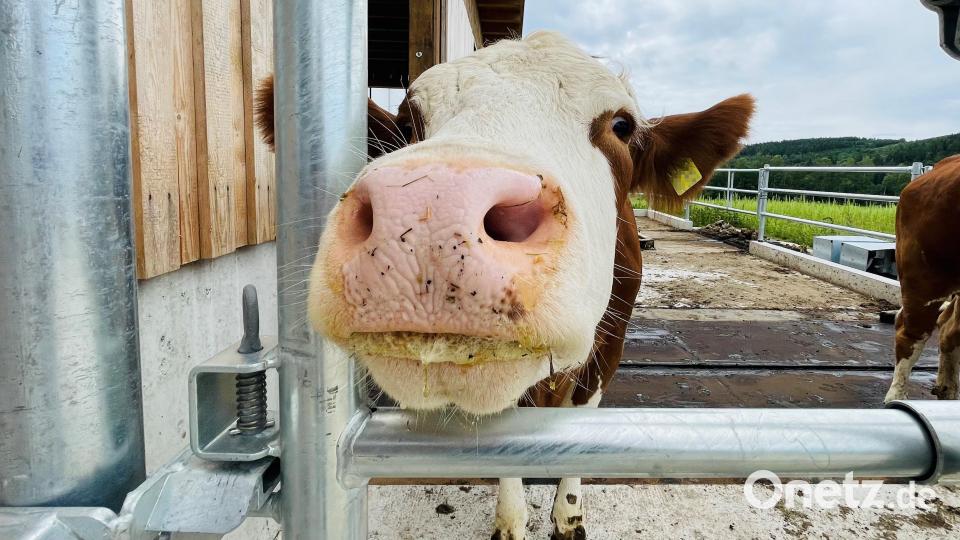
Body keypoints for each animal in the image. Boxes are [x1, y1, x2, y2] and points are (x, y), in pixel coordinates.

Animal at [257, 31, 753, 540]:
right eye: (408, 121)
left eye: (621, 125)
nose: (434, 208)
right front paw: (512, 521)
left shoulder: (610, 346)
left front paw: (569, 515)